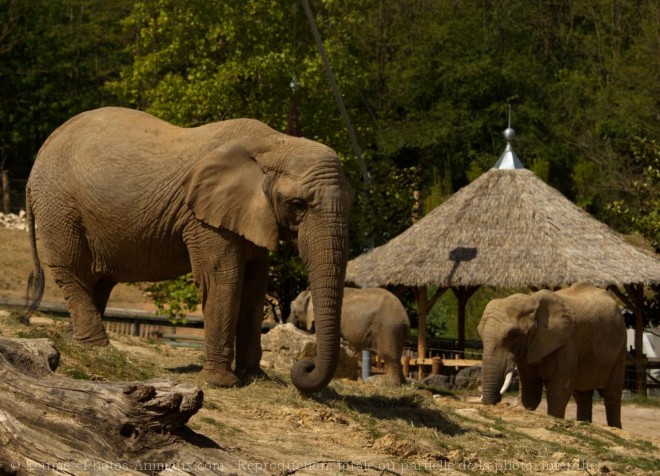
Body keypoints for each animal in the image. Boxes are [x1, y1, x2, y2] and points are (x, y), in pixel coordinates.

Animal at [25, 108, 354, 394]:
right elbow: (224, 279)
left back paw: (74, 340)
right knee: (73, 270)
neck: (273, 142)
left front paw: (256, 378)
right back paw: (97, 346)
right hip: (60, 206)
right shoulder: (203, 220)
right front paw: (222, 383)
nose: (304, 367)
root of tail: (41, 152)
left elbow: (254, 289)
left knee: (100, 278)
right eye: (297, 205)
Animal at [476, 282, 628, 428]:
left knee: (612, 395)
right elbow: (531, 390)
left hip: (621, 345)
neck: (531, 299)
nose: (497, 399)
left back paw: (615, 427)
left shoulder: (568, 342)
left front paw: (555, 417)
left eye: (515, 335)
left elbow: (559, 389)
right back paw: (584, 422)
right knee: (582, 395)